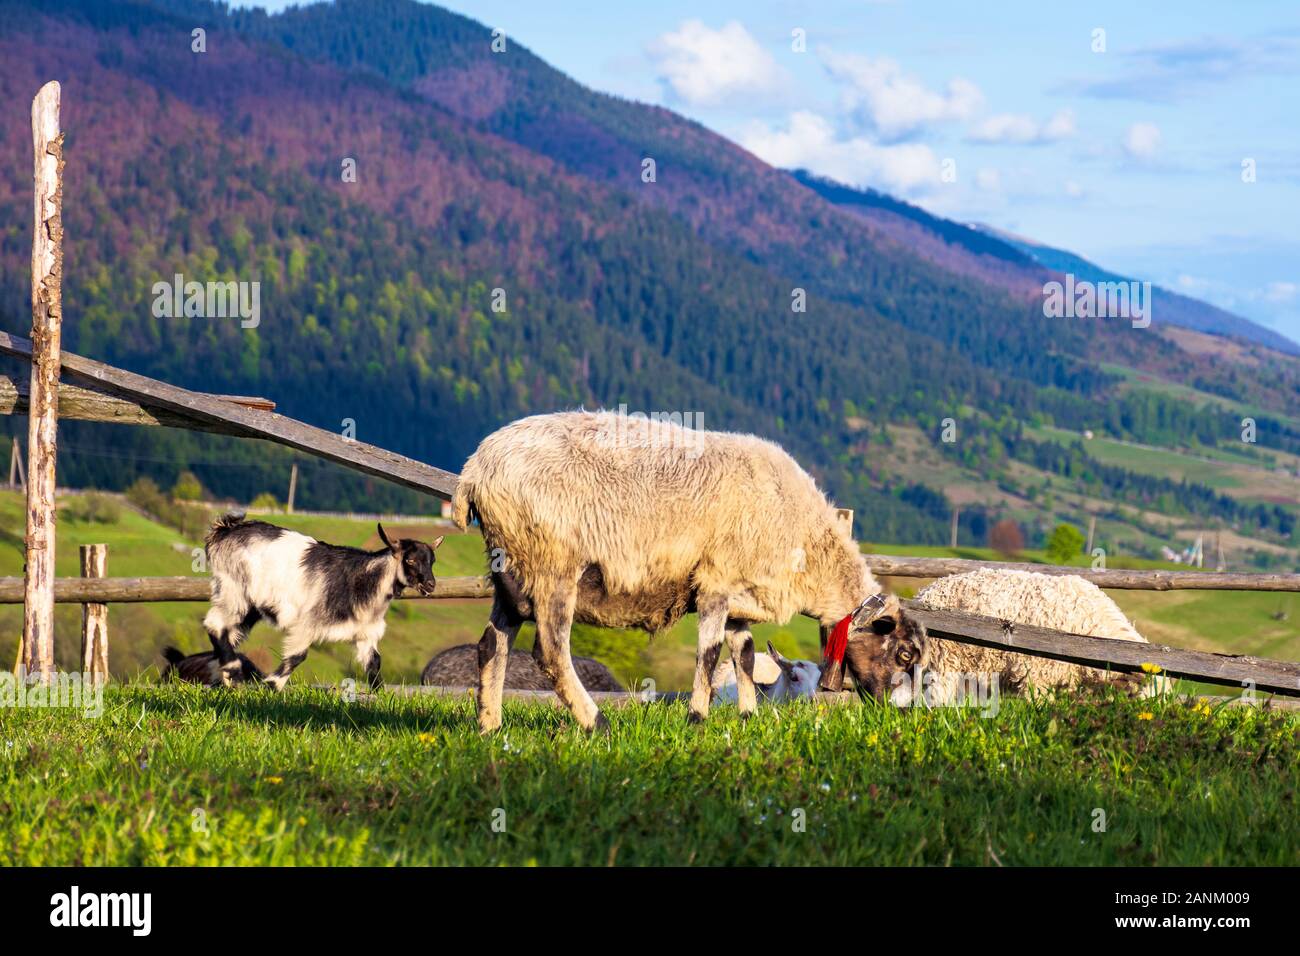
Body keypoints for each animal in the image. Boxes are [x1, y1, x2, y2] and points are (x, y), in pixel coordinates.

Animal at [202, 514, 441, 690]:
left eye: (432, 561)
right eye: (410, 559)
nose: (431, 585)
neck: (362, 581)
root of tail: (223, 531)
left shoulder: (365, 634)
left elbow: (374, 664)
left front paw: (379, 698)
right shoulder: (307, 624)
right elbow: (297, 656)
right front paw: (272, 684)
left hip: (249, 606)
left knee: (229, 633)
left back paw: (226, 678)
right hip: (233, 589)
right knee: (215, 624)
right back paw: (233, 669)